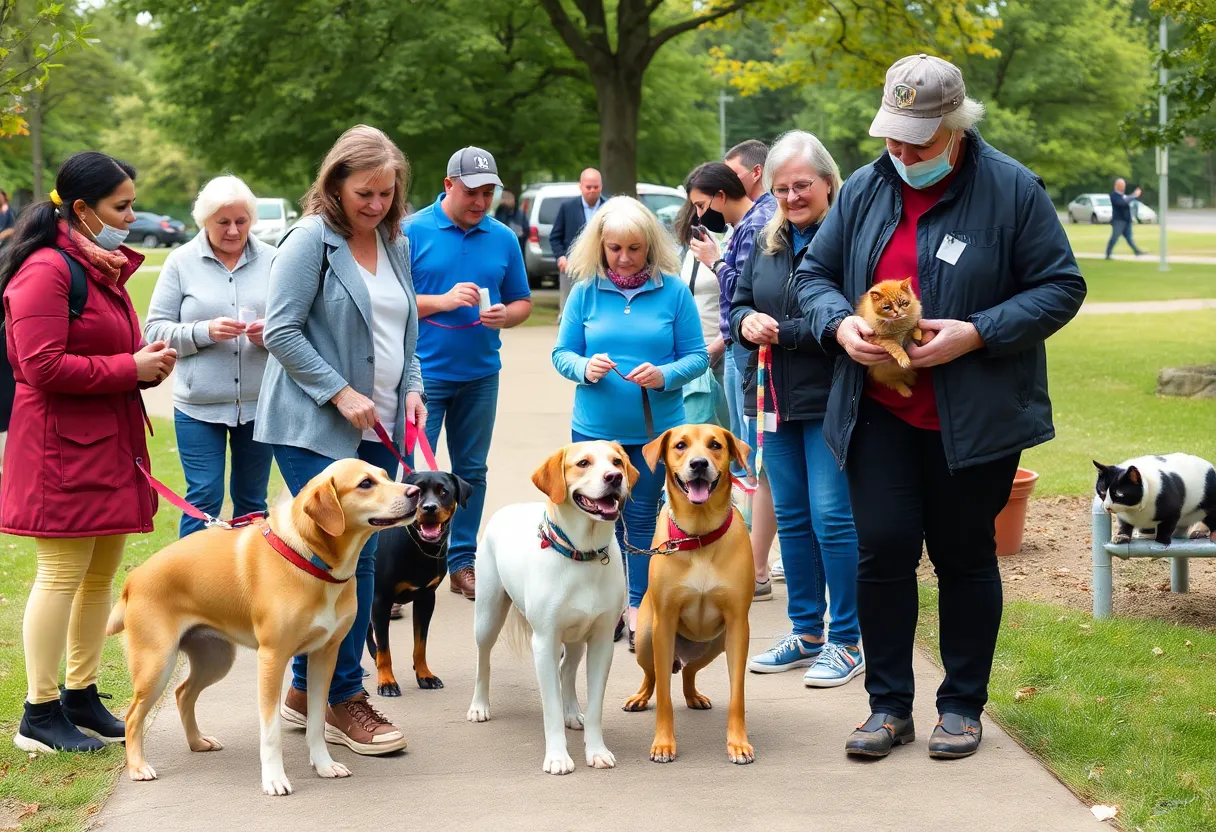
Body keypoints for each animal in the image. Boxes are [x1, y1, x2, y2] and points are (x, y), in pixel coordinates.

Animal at [110, 457, 423, 797]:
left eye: (386, 475)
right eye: (365, 483)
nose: (416, 492)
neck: (310, 560)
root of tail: (134, 576)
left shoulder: (324, 656)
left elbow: (316, 722)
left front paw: (324, 765)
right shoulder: (272, 659)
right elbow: (271, 732)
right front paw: (274, 778)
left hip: (215, 659)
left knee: (183, 693)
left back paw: (197, 742)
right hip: (156, 664)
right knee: (133, 715)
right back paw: (138, 767)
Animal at [364, 467, 469, 695]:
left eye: (444, 491)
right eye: (417, 492)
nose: (429, 508)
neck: (419, 547)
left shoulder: (426, 598)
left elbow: (420, 645)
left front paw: (425, 676)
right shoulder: (380, 600)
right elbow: (385, 648)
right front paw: (387, 682)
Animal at [464, 442, 637, 773]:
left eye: (617, 461)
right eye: (583, 463)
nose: (614, 477)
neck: (581, 554)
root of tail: (508, 509)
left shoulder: (601, 642)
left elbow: (594, 707)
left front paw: (596, 750)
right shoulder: (544, 641)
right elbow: (550, 709)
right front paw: (557, 757)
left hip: (576, 638)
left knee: (566, 670)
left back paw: (572, 711)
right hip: (487, 617)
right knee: (482, 661)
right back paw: (479, 706)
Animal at [622, 425, 753, 763]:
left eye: (715, 445)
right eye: (680, 445)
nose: (699, 463)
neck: (698, 535)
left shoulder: (738, 626)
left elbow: (737, 694)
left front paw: (738, 742)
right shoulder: (665, 623)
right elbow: (664, 697)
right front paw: (663, 743)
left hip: (715, 645)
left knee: (689, 671)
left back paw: (693, 695)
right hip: (646, 639)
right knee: (654, 675)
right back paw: (640, 697)